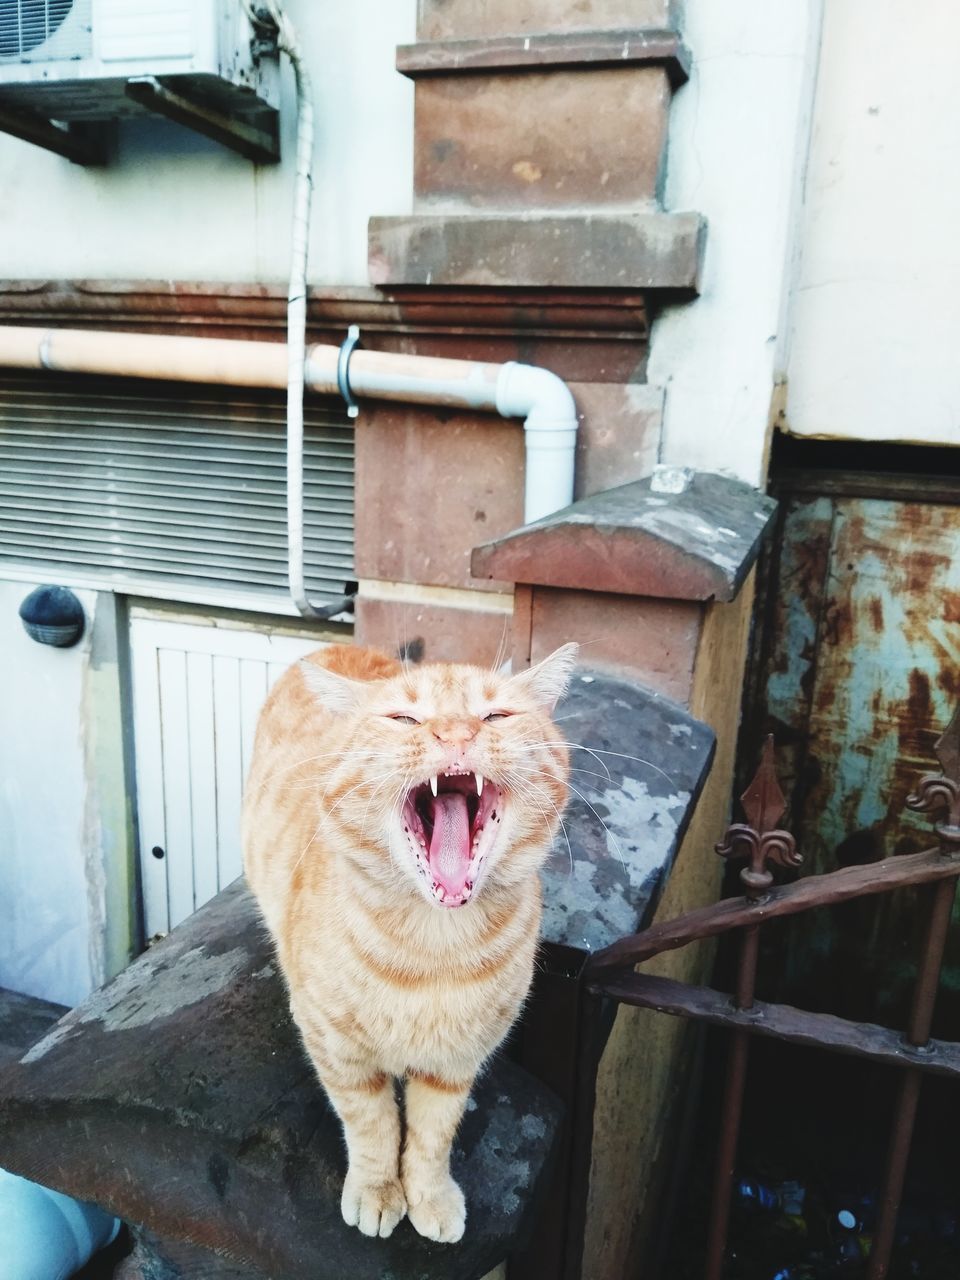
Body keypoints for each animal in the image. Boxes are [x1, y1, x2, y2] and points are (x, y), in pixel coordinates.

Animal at [244, 645, 576, 1244]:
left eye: (496, 716)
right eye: (404, 719)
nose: (456, 733)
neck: (433, 948)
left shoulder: (457, 1061)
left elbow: (432, 1134)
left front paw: (429, 1196)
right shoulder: (337, 1050)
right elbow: (371, 1125)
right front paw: (378, 1190)